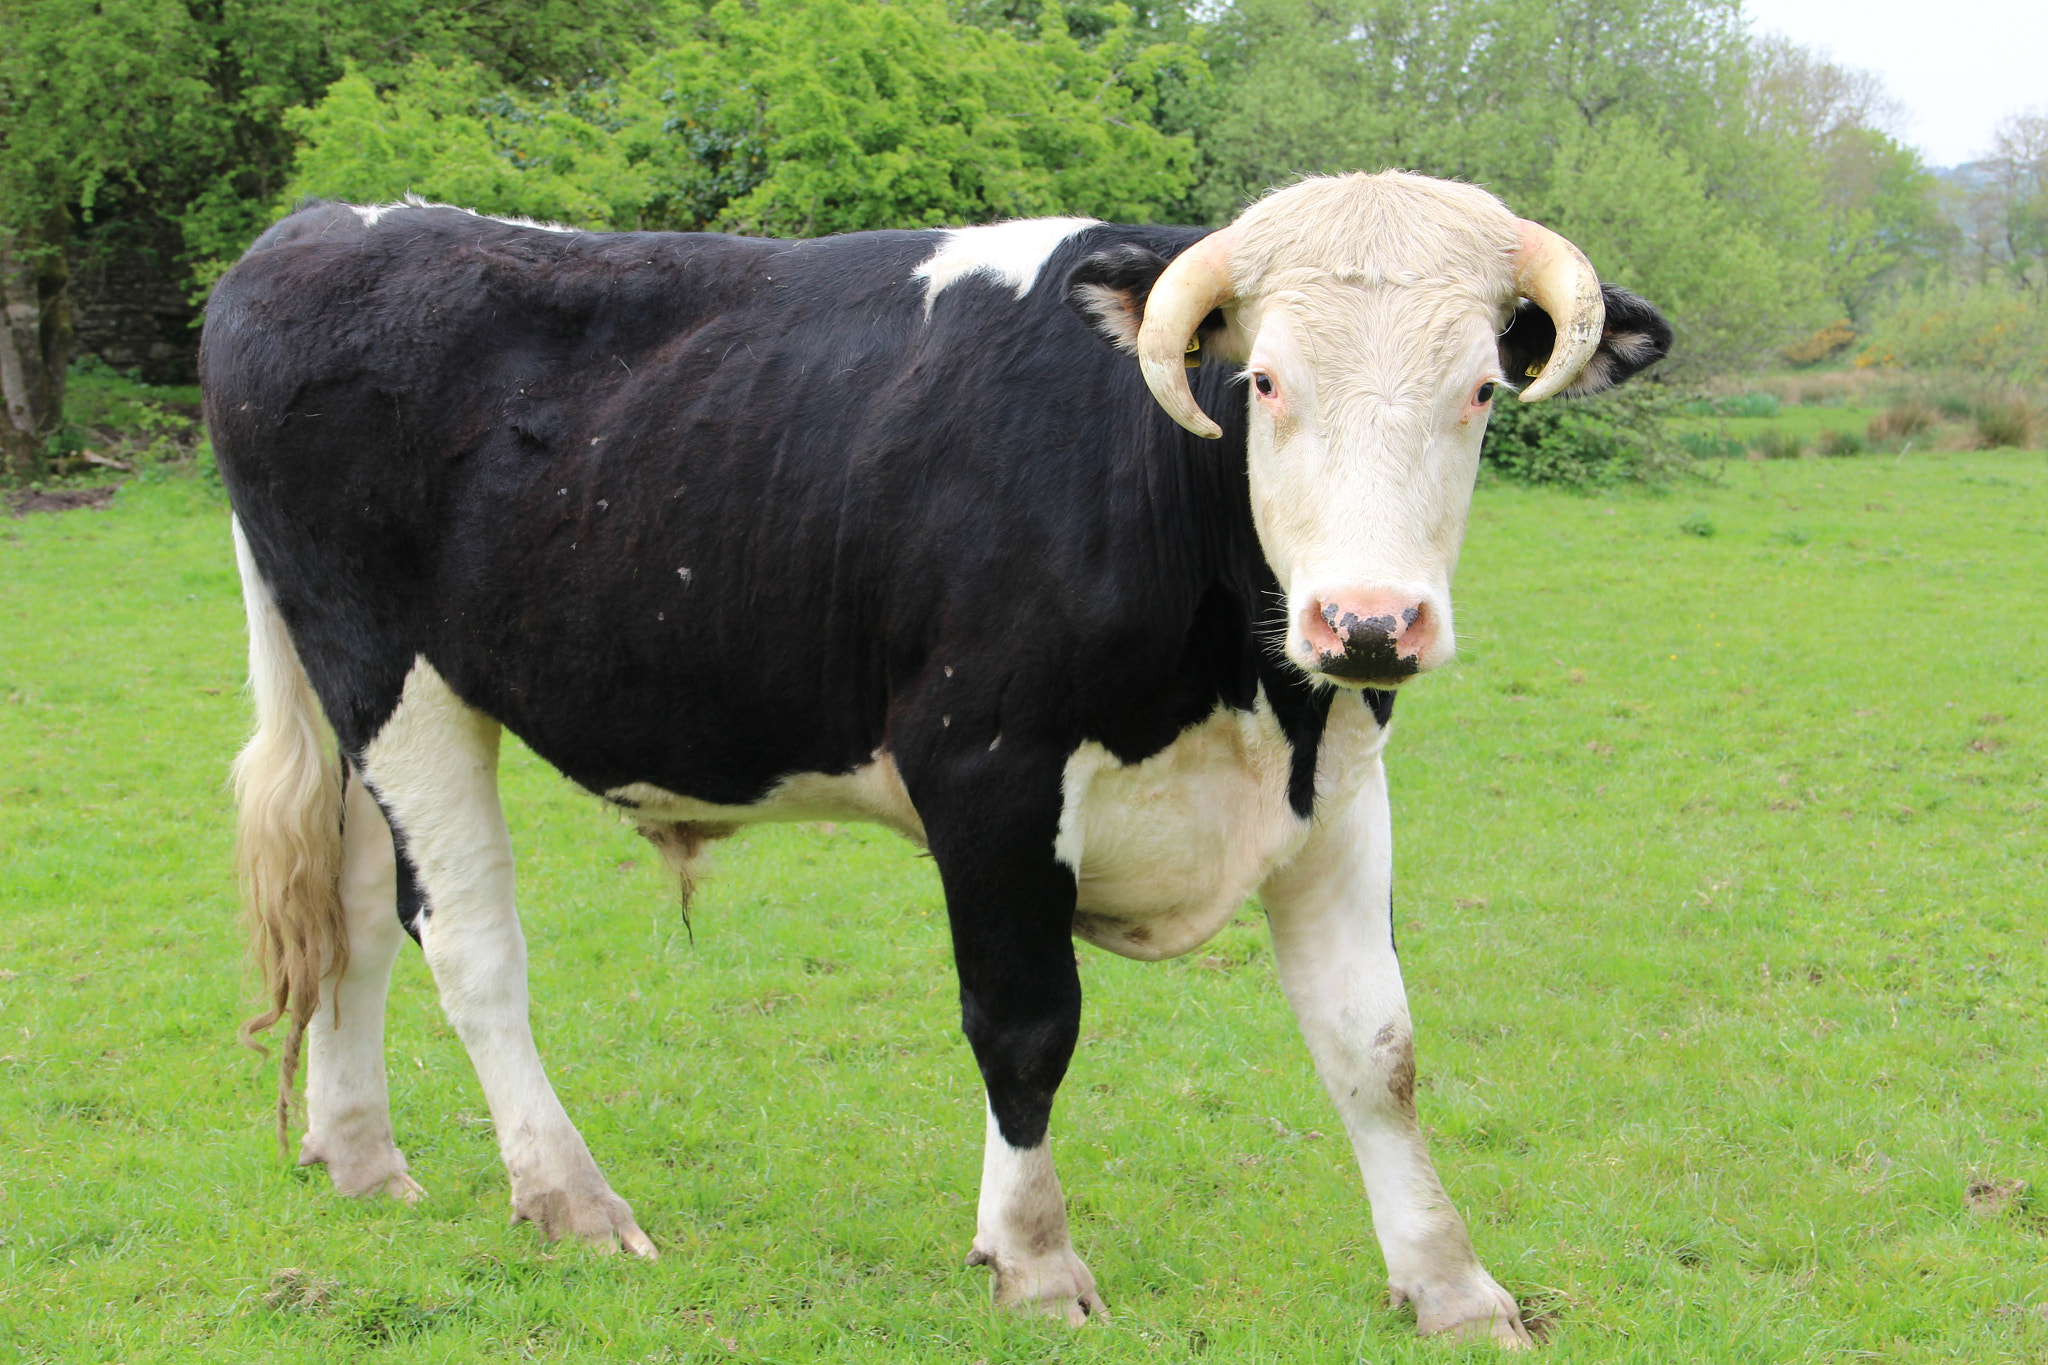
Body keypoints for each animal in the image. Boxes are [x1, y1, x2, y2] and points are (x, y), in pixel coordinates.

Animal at [203, 171, 1671, 1346]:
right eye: (1263, 381)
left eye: (1478, 389)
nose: (1368, 622)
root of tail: (320, 225)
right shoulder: (988, 769)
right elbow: (1026, 1025)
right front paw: (1033, 1259)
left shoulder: (1336, 790)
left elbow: (1378, 1049)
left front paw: (1454, 1286)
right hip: (397, 679)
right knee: (465, 941)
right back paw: (567, 1196)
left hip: (353, 701)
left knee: (349, 914)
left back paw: (359, 1154)